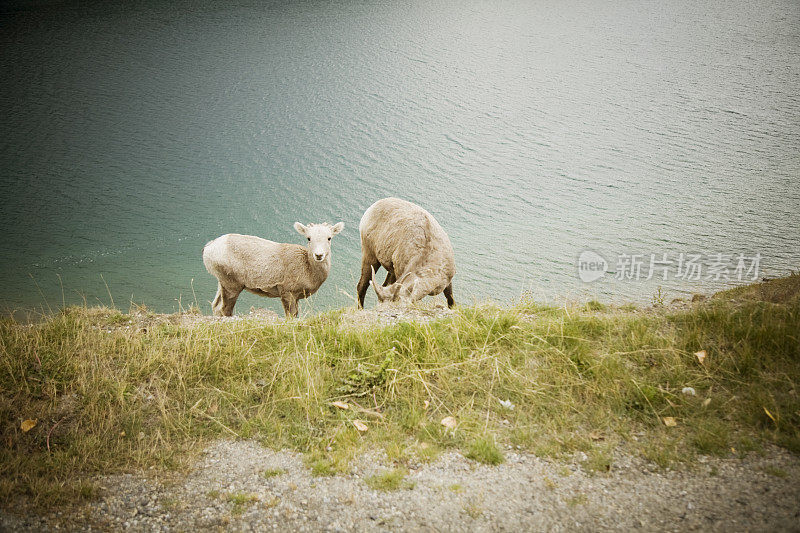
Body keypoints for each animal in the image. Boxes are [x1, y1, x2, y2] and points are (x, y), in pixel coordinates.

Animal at [202, 220, 342, 316]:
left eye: (329, 238)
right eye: (309, 238)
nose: (318, 255)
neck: (309, 270)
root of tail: (208, 249)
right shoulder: (287, 293)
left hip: (222, 283)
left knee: (216, 306)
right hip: (231, 285)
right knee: (224, 309)